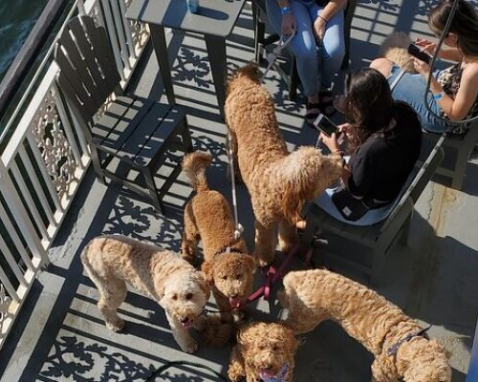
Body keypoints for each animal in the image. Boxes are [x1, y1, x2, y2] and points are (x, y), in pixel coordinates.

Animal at [81, 234, 210, 354]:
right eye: (174, 297)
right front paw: (189, 344)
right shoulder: (171, 312)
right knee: (103, 305)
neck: (176, 271)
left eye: (189, 295)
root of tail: (88, 246)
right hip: (113, 286)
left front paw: (201, 322)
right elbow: (180, 331)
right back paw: (115, 324)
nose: (183, 319)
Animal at [224, 64, 344, 268]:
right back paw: (234, 173)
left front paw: (290, 247)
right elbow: (264, 241)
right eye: (323, 168)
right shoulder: (263, 223)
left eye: (323, 157)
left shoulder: (288, 217)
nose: (341, 160)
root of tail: (245, 82)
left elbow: (288, 233)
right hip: (232, 132)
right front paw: (264, 259)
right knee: (232, 151)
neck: (277, 183)